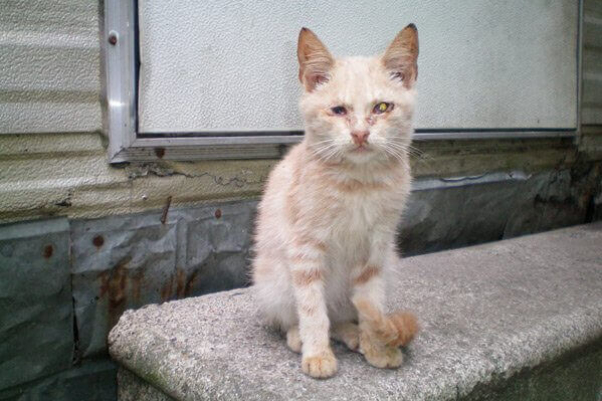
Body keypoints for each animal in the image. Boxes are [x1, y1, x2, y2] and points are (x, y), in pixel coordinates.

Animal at [252, 25, 418, 378]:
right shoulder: (306, 249)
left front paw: (377, 346)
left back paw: (354, 335)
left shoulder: (375, 250)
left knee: (342, 315)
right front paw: (317, 354)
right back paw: (301, 338)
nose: (360, 134)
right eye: (339, 110)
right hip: (274, 280)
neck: (359, 183)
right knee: (291, 316)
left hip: (389, 265)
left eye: (382, 108)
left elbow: (370, 302)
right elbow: (313, 309)